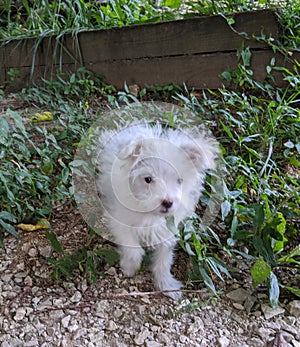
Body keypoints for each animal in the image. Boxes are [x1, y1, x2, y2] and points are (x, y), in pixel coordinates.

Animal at [97, 121, 219, 300]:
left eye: (179, 180)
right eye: (148, 179)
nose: (167, 202)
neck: (149, 213)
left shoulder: (166, 230)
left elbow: (164, 260)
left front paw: (166, 284)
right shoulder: (119, 220)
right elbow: (133, 248)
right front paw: (129, 266)